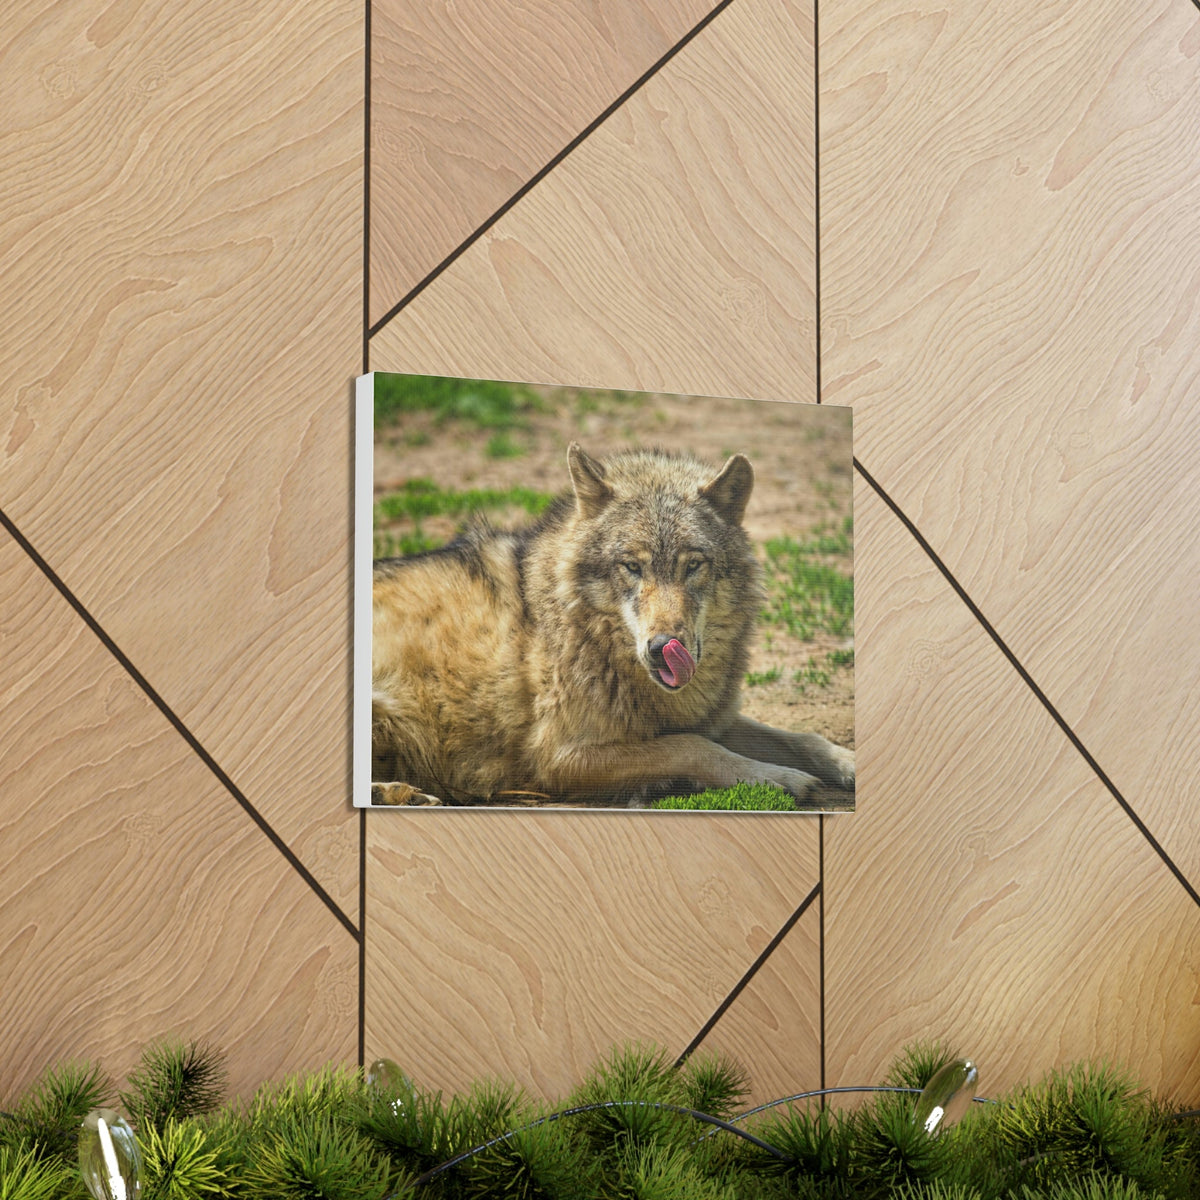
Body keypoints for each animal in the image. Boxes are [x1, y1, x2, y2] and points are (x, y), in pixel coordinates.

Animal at [371, 443, 855, 808]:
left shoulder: (709, 717)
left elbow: (803, 737)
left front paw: (847, 762)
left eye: (693, 565)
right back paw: (400, 794)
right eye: (632, 567)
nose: (663, 647)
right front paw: (773, 777)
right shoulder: (558, 758)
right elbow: (690, 746)